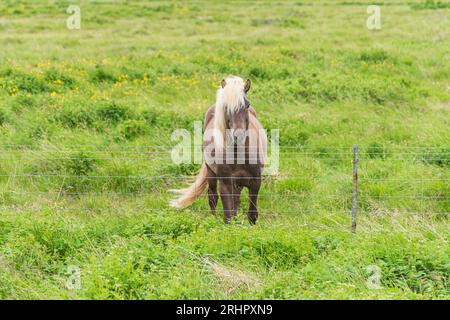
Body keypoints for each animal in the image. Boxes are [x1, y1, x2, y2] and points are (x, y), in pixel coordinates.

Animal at [171, 76, 266, 224]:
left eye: (247, 105)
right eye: (226, 107)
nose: (238, 135)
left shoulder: (256, 182)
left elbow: (252, 214)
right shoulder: (225, 184)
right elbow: (228, 216)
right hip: (211, 173)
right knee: (213, 197)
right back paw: (213, 219)